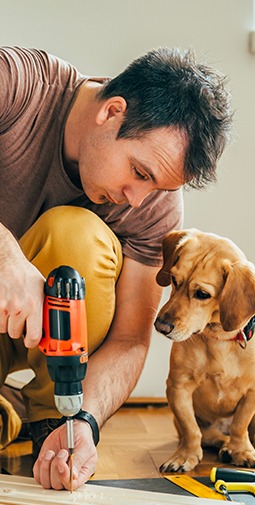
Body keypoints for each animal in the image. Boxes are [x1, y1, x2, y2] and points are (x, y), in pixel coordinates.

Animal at [154, 228, 255, 472]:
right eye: (174, 280)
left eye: (202, 294)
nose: (160, 326)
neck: (219, 339)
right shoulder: (178, 387)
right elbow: (191, 429)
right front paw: (185, 456)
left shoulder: (252, 393)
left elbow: (240, 424)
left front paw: (241, 450)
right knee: (210, 435)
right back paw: (224, 446)